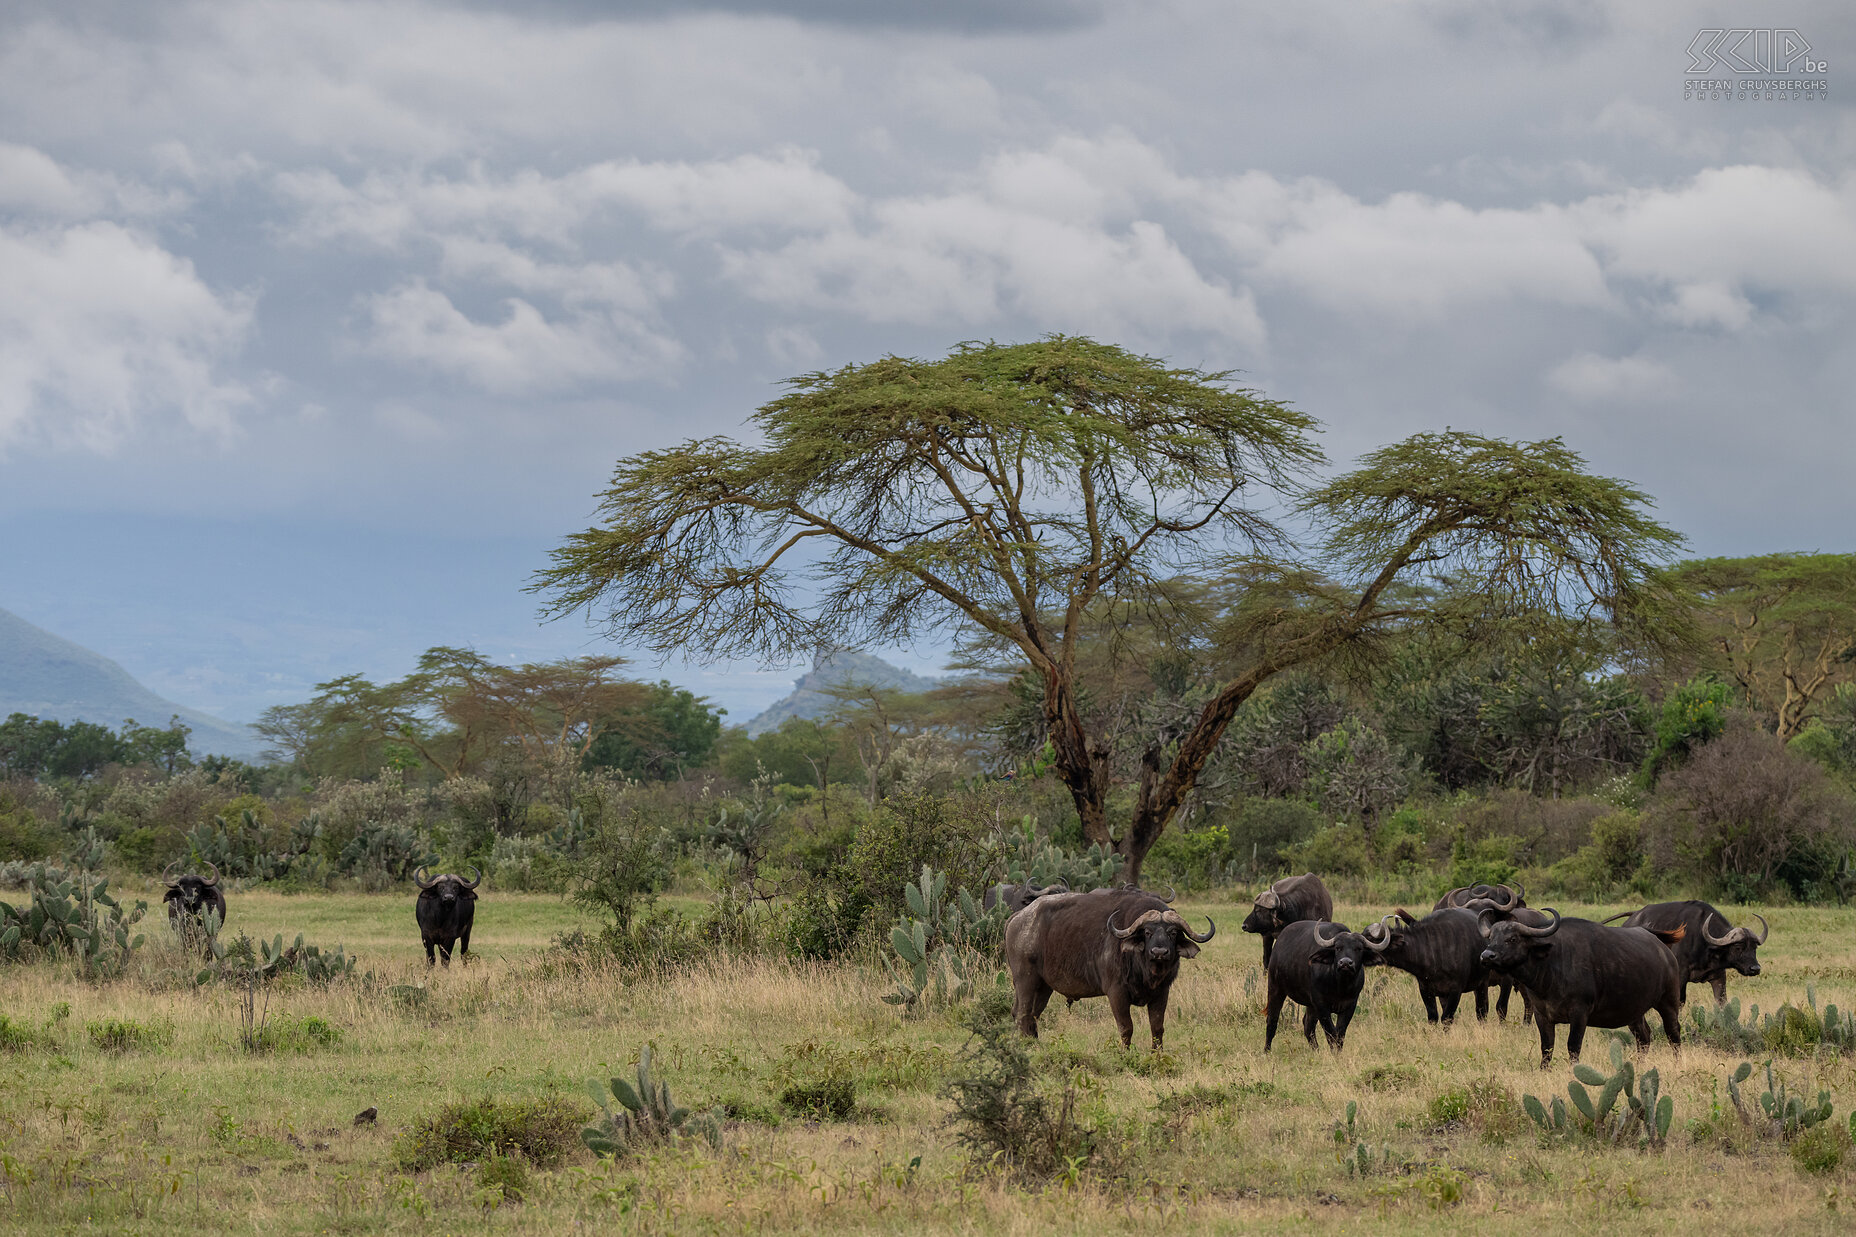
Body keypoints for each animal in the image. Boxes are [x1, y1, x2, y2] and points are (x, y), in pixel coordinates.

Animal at [1002, 880, 1217, 1047]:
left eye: (1172, 932)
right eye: (1148, 932)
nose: (1159, 952)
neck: (1146, 971)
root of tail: (1018, 918)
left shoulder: (1162, 992)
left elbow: (1157, 1029)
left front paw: (1157, 1056)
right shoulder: (1116, 992)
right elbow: (1126, 1028)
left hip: (1044, 986)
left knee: (1031, 1014)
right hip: (1025, 980)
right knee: (1022, 1013)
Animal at [1269, 913, 1373, 1047]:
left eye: (1359, 948)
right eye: (1338, 948)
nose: (1345, 963)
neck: (1340, 985)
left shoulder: (1350, 1005)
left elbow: (1340, 1034)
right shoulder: (1321, 1005)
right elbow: (1331, 1033)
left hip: (1310, 1005)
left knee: (1308, 1025)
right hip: (1275, 987)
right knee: (1272, 1020)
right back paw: (1267, 1049)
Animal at [1477, 902, 1685, 1062]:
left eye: (1512, 938)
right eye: (1491, 937)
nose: (1487, 955)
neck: (1551, 969)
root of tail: (1663, 949)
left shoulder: (1579, 1014)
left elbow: (1573, 1046)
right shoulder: (1541, 1014)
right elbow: (1547, 1048)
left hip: (1668, 1002)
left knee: (1673, 1033)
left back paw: (1677, 1062)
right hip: (1635, 1011)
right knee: (1644, 1037)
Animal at [1596, 895, 1766, 1002]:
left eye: (1754, 947)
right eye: (1738, 946)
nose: (1755, 969)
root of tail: (1632, 918)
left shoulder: (1719, 976)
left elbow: (1722, 1002)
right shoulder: (1681, 977)